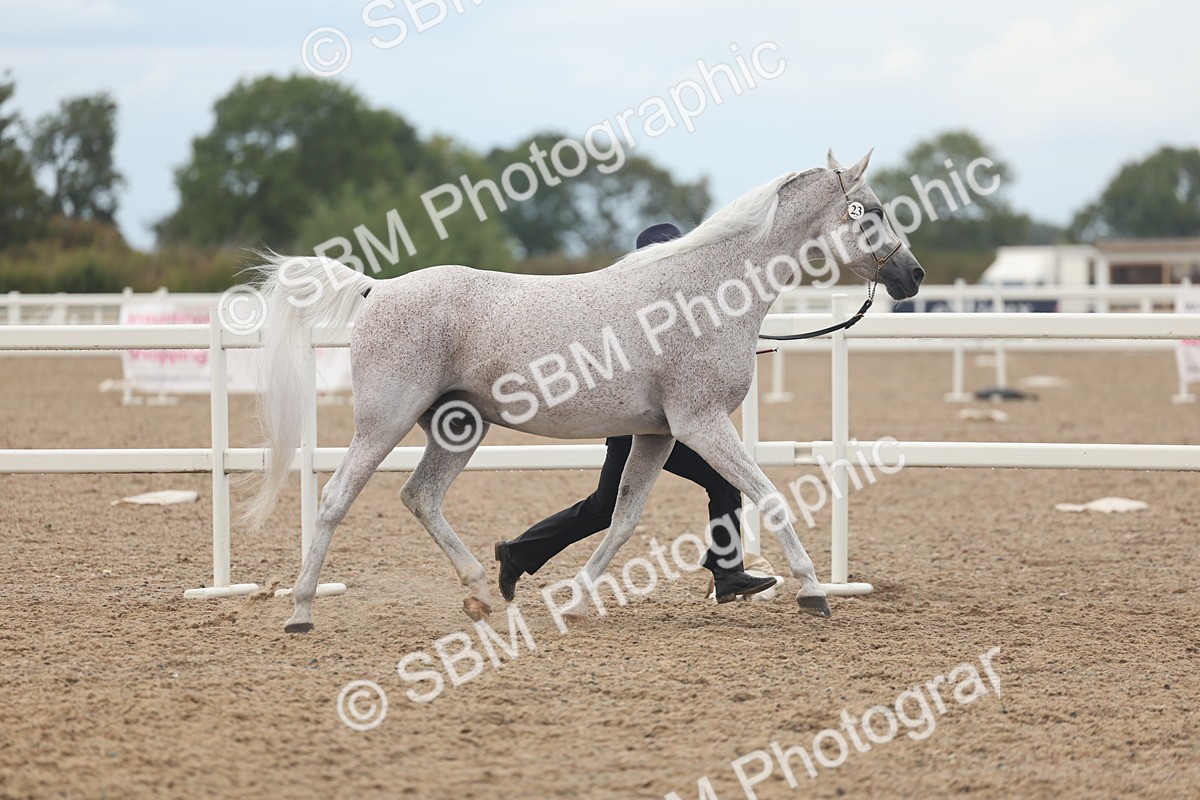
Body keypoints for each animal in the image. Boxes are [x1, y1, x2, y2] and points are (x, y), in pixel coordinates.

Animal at [245, 149, 924, 633]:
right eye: (873, 209)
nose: (912, 275)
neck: (707, 292)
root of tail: (377, 288)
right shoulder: (702, 424)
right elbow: (770, 498)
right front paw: (812, 592)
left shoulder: (656, 434)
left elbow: (621, 519)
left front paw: (574, 602)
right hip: (384, 421)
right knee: (335, 498)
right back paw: (301, 611)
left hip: (460, 427)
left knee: (421, 496)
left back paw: (482, 592)